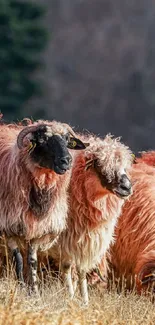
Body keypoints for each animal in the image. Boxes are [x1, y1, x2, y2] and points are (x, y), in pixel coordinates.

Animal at [0, 119, 88, 292]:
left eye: (67, 139)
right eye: (42, 140)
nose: (66, 161)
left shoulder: (38, 228)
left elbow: (32, 261)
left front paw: (34, 290)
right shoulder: (10, 226)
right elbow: (18, 259)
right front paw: (21, 286)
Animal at [40, 132, 133, 304]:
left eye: (124, 166)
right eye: (99, 164)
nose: (127, 187)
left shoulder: (85, 240)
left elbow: (82, 270)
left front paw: (85, 301)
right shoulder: (65, 240)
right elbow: (67, 267)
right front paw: (70, 296)